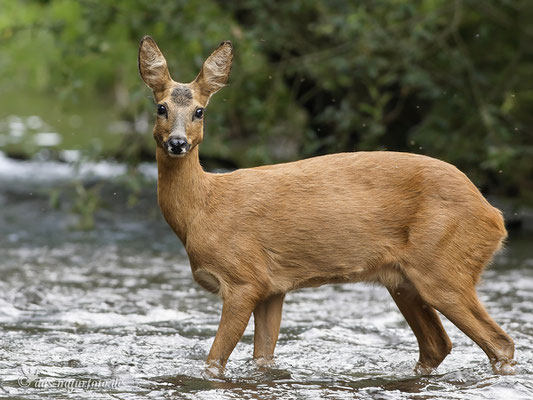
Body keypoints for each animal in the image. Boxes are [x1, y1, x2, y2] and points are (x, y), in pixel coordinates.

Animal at [137, 36, 516, 376]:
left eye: (199, 111)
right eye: (161, 108)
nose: (177, 143)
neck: (202, 209)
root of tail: (495, 216)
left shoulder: (243, 278)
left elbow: (214, 362)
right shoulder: (272, 287)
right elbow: (263, 359)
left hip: (444, 266)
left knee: (500, 343)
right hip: (405, 280)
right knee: (438, 344)